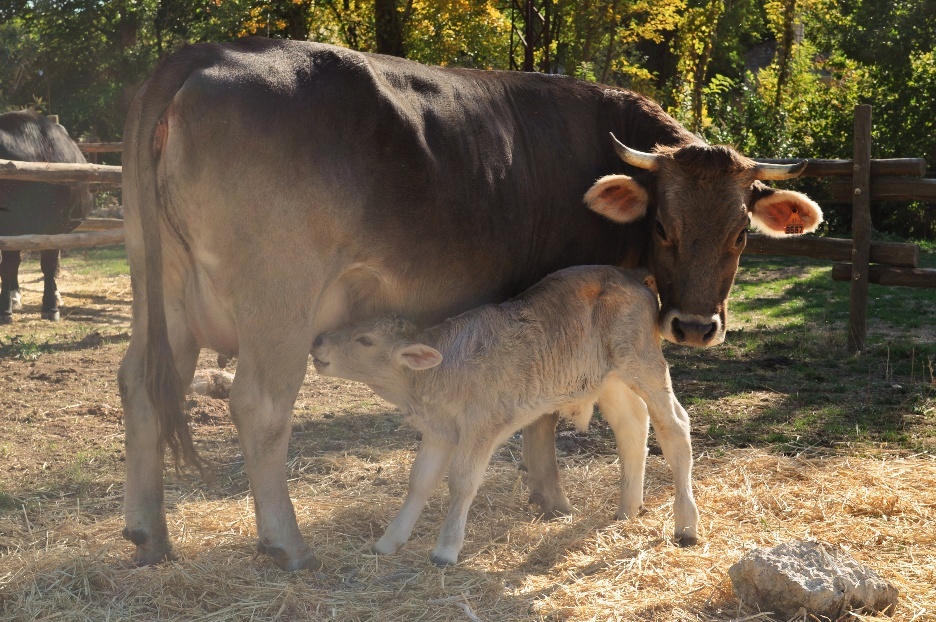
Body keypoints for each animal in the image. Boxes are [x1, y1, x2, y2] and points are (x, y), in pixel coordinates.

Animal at [0, 110, 93, 323]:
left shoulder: (55, 225)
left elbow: (48, 264)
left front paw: (50, 307)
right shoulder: (8, 227)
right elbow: (8, 265)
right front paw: (5, 309)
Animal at [312, 265, 697, 566]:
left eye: (364, 340)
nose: (317, 342)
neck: (437, 375)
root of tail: (632, 276)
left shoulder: (481, 424)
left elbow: (462, 480)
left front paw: (445, 550)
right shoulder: (439, 429)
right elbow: (420, 479)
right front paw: (389, 541)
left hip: (643, 362)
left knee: (675, 427)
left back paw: (686, 525)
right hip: (609, 378)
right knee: (632, 425)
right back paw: (627, 509)